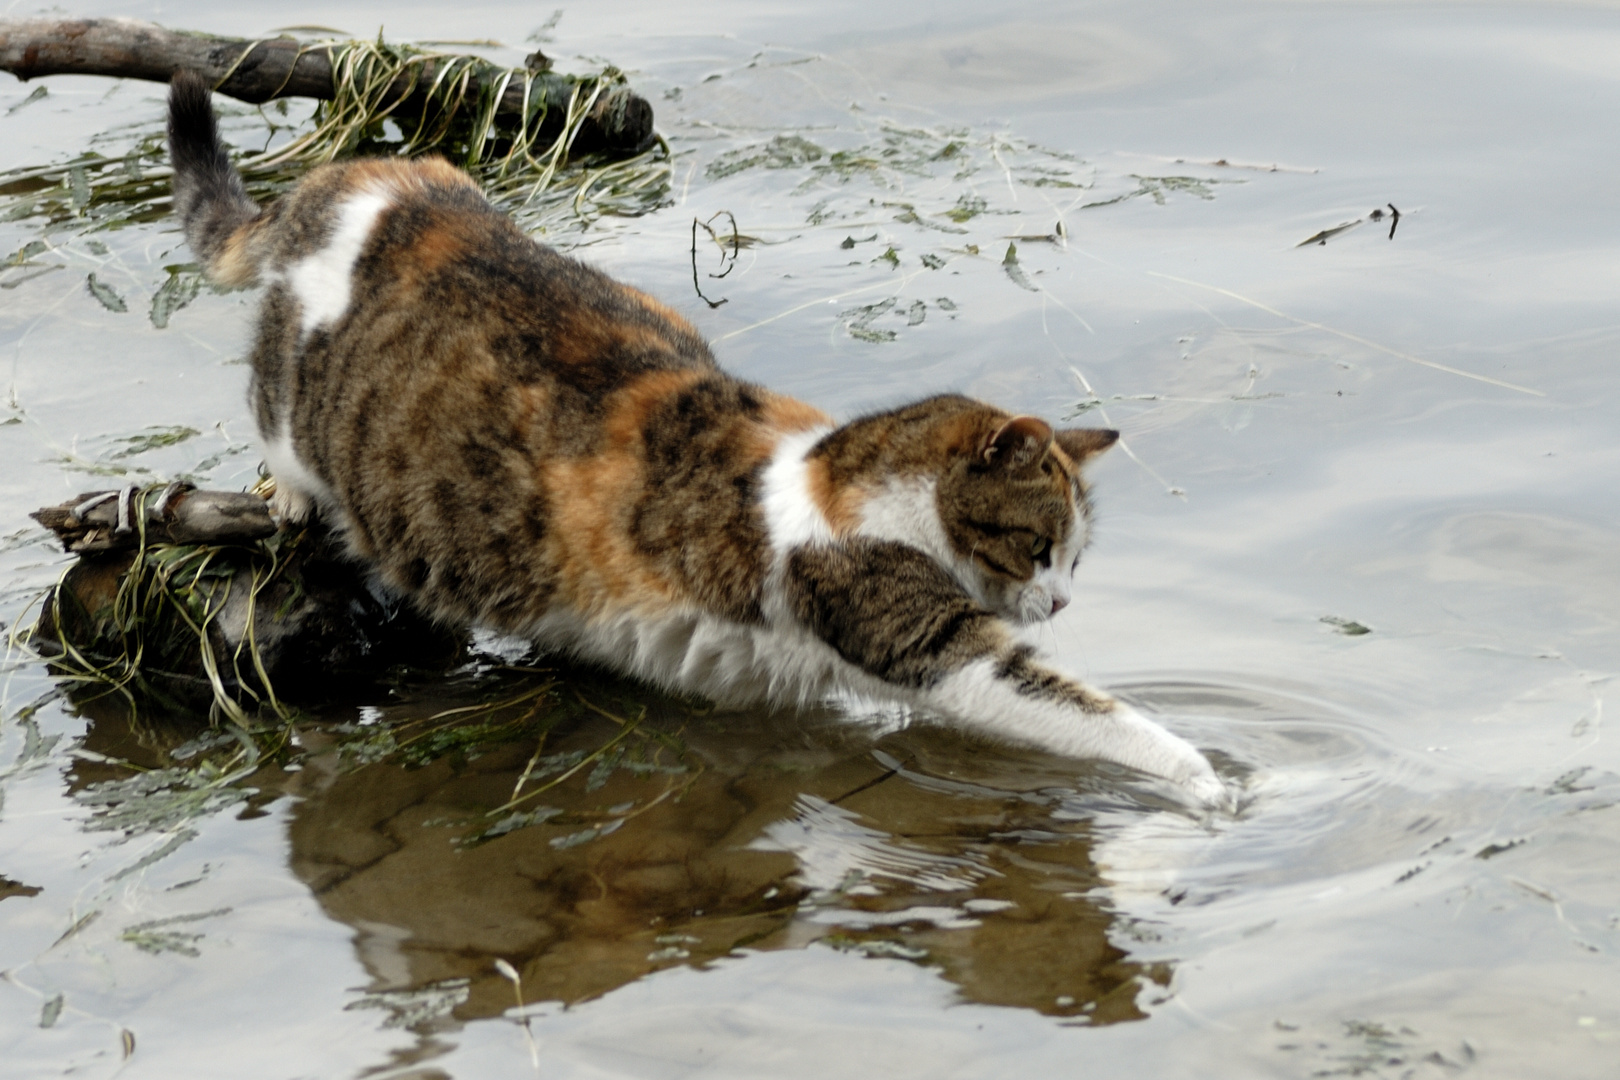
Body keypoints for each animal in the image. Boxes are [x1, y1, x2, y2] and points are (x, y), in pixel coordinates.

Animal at [167, 71, 1224, 806]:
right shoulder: (919, 633)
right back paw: (291, 492)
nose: (1060, 602)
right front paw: (1214, 782)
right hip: (296, 397)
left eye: (1078, 558)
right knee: (271, 414)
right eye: (1040, 546)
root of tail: (356, 180)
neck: (858, 488)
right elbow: (1087, 710)